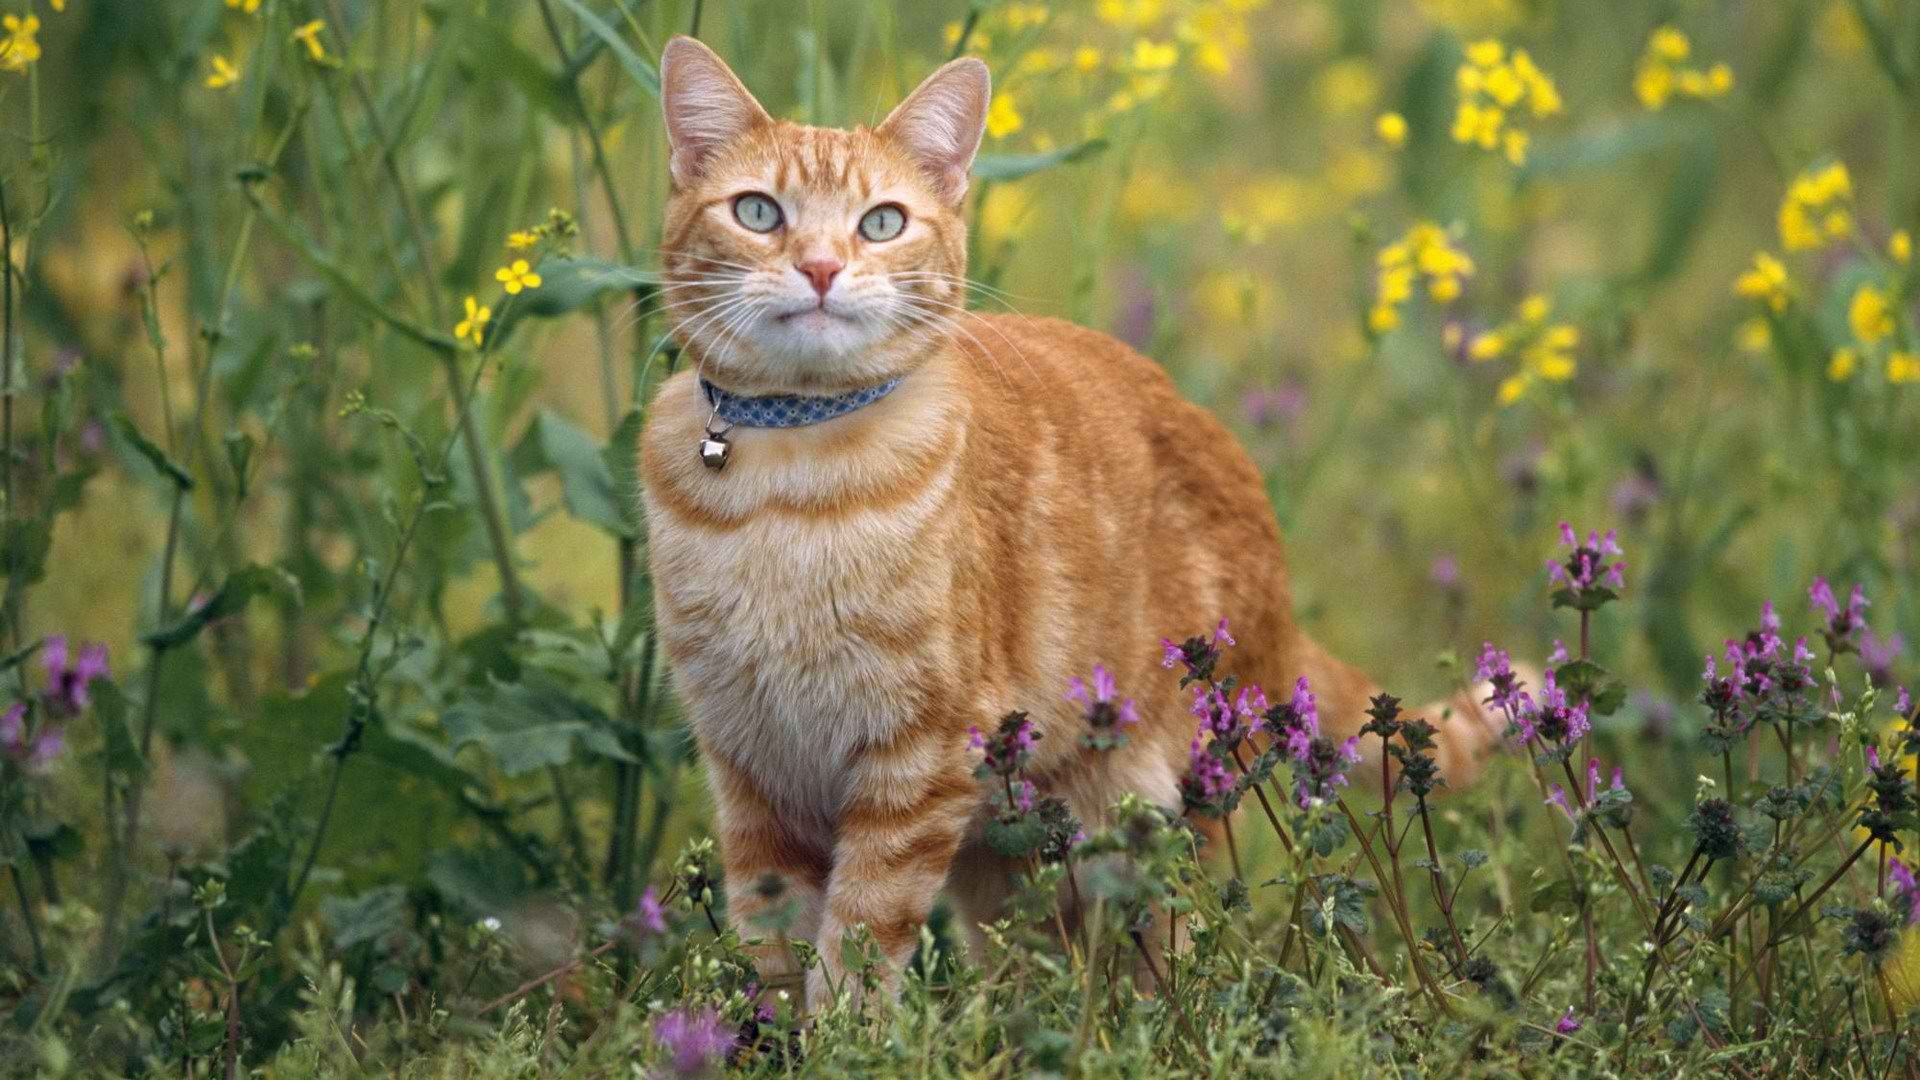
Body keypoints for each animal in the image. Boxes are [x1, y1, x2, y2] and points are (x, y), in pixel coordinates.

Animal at [637, 35, 1505, 1006]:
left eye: (881, 224)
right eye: (758, 211)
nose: (822, 269)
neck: (787, 484)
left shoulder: (917, 761)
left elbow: (861, 934)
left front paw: (839, 1029)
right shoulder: (751, 767)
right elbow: (772, 941)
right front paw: (756, 1031)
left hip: (1157, 810)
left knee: (1175, 953)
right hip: (1013, 844)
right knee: (1032, 953)